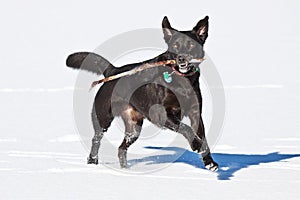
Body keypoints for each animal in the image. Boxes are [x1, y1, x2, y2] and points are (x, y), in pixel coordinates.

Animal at [66, 16, 218, 171]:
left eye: (191, 45)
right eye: (175, 46)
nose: (181, 58)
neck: (182, 80)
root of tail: (112, 70)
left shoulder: (195, 113)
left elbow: (202, 136)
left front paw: (209, 161)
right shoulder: (162, 114)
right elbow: (186, 128)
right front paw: (196, 145)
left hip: (134, 127)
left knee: (122, 148)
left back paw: (125, 169)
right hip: (103, 117)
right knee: (96, 139)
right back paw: (93, 162)